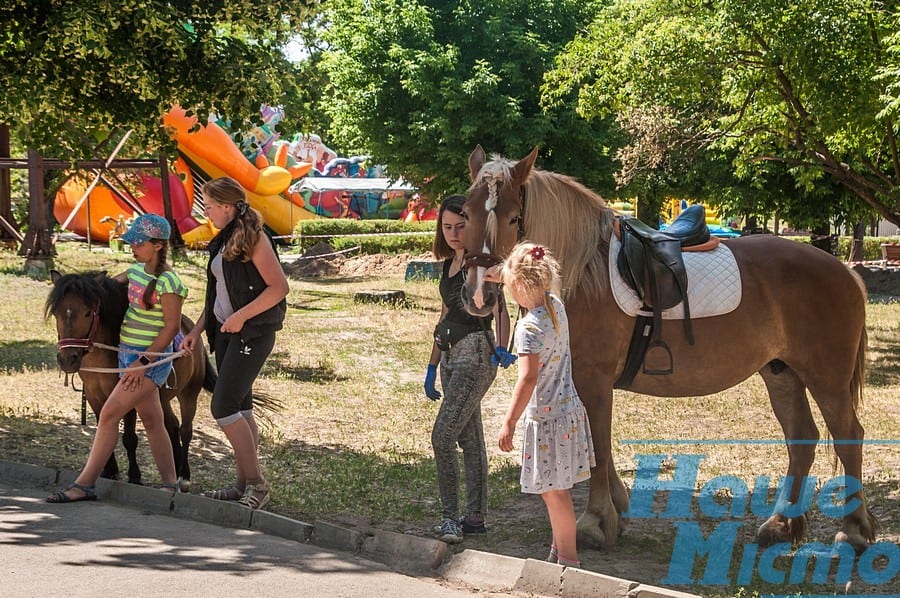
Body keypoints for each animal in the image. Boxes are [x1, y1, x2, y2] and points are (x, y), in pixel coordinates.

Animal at [46, 272, 216, 492]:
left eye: (88, 313)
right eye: (56, 313)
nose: (67, 359)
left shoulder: (128, 397)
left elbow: (129, 438)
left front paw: (134, 476)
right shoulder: (94, 395)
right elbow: (103, 429)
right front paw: (109, 471)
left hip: (189, 394)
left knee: (186, 430)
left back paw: (184, 475)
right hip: (162, 398)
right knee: (172, 426)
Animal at [460, 145, 876, 552]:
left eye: (513, 218)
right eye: (465, 213)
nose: (479, 295)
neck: (585, 270)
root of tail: (844, 270)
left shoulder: (592, 378)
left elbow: (598, 446)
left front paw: (595, 522)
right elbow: (600, 446)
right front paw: (617, 511)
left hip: (826, 378)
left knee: (848, 436)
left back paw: (853, 530)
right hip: (782, 373)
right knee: (801, 438)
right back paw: (780, 524)